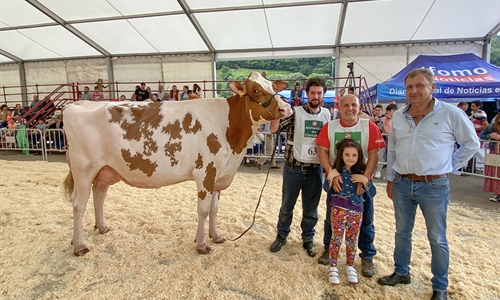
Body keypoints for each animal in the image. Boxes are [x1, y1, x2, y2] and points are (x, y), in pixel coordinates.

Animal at [64, 72, 294, 255]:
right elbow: (203, 210)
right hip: (83, 169)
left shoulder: (219, 175)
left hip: (104, 170)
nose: (287, 109)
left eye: (273, 87)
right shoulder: (206, 173)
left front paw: (216, 236)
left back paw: (102, 227)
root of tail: (75, 105)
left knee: (99, 197)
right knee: (78, 204)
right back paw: (79, 245)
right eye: (255, 89)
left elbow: (214, 209)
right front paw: (202, 244)